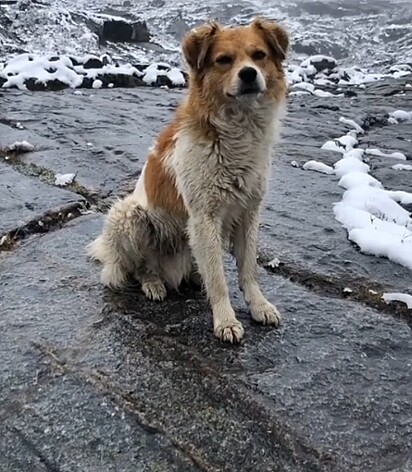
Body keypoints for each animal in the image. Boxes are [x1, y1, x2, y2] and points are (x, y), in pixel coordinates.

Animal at [88, 18, 288, 342]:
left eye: (259, 55)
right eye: (224, 60)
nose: (248, 74)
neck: (237, 131)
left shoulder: (248, 212)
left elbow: (248, 268)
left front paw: (258, 306)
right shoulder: (204, 216)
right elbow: (218, 279)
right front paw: (225, 321)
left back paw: (193, 277)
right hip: (128, 214)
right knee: (141, 266)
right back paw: (153, 283)